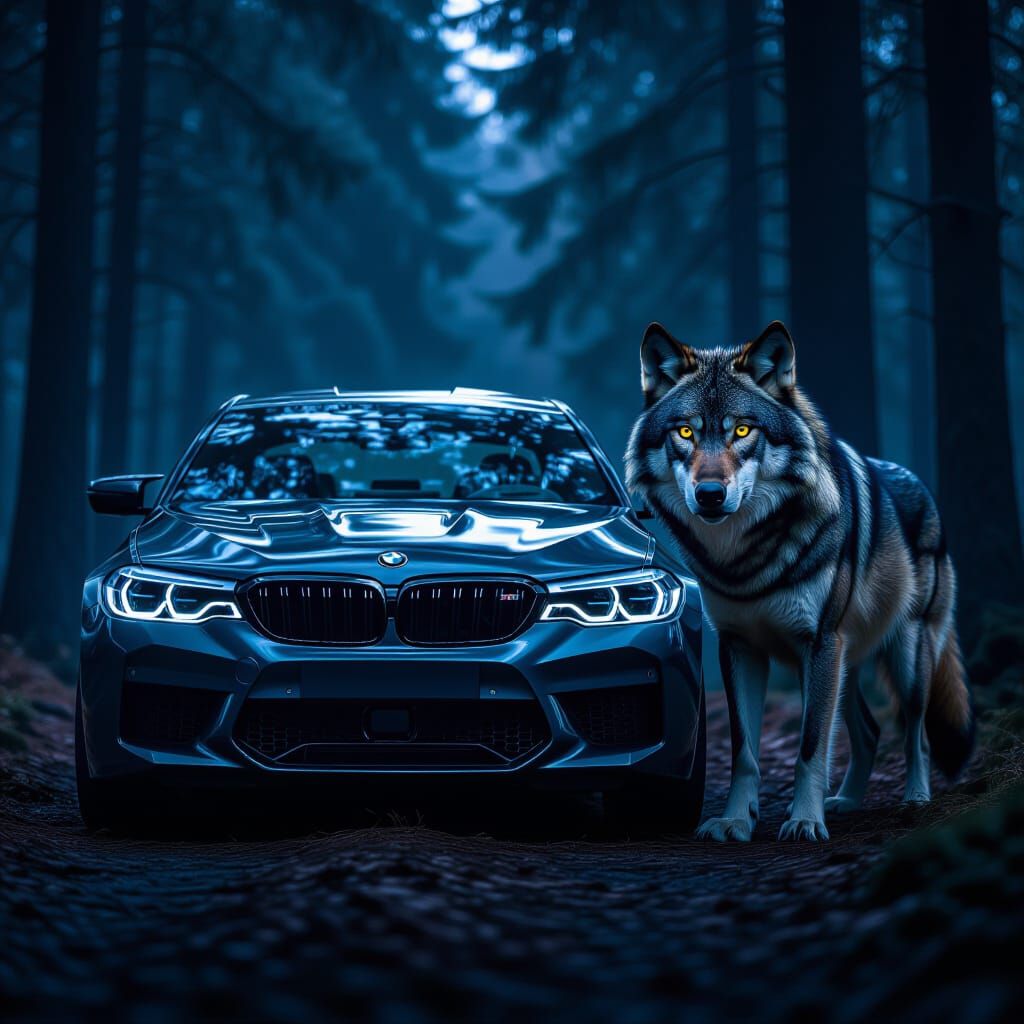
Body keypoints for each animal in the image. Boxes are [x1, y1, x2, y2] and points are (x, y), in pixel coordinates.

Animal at [626, 320, 974, 841]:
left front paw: (805, 821)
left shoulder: (819, 642)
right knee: (869, 731)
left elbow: (810, 748)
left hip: (905, 656)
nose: (710, 495)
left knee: (917, 731)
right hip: (843, 663)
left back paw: (915, 797)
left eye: (742, 430)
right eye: (685, 432)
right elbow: (745, 752)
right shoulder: (739, 647)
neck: (744, 560)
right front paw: (735, 820)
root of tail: (923, 488)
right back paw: (847, 801)